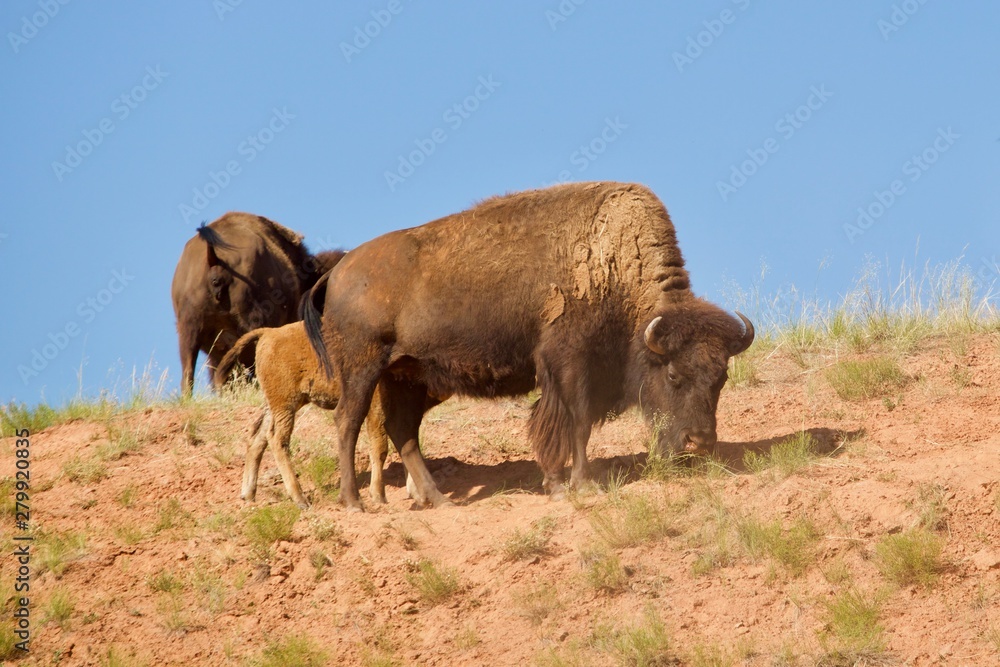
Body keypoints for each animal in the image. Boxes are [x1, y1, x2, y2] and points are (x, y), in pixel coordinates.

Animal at [300, 180, 752, 508]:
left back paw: (440, 501)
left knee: (403, 432)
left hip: (406, 376)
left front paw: (560, 483)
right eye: (673, 374)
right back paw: (354, 502)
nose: (700, 441)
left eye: (721, 379)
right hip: (362, 370)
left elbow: (569, 425)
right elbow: (574, 423)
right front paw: (575, 485)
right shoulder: (569, 363)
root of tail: (338, 272)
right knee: (348, 422)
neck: (611, 264)